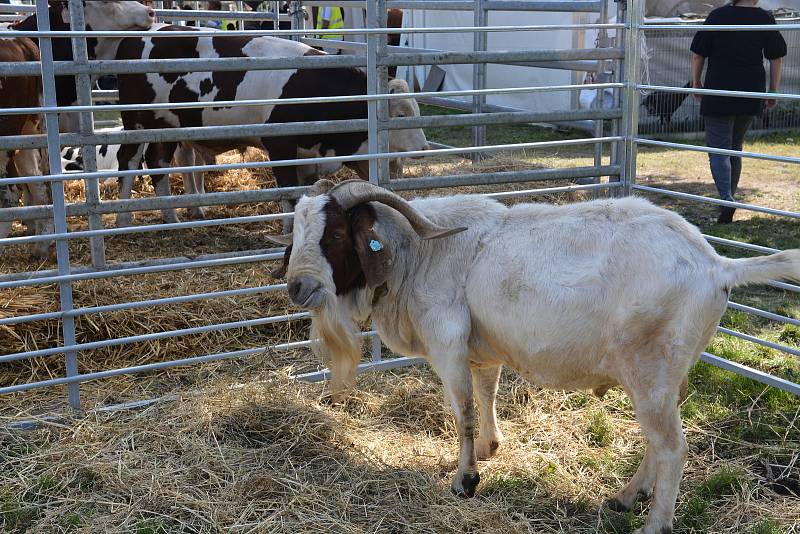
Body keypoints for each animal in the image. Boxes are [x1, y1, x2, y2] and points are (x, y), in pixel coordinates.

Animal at [111, 26, 432, 227]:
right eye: (399, 115)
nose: (424, 147)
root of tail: (135, 38)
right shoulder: (280, 146)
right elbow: (289, 193)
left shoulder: (307, 157)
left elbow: (304, 193)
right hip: (136, 121)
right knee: (129, 161)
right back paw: (124, 219)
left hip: (167, 127)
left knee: (158, 163)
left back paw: (171, 218)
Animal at [268, 181, 800, 534]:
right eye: (297, 233)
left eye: (336, 237)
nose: (297, 287)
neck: (419, 255)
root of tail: (717, 265)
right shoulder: (482, 351)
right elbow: (486, 394)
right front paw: (490, 448)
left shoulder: (447, 345)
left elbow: (462, 411)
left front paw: (465, 480)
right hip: (665, 375)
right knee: (659, 440)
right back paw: (627, 497)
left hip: (650, 371)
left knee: (671, 447)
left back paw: (654, 522)